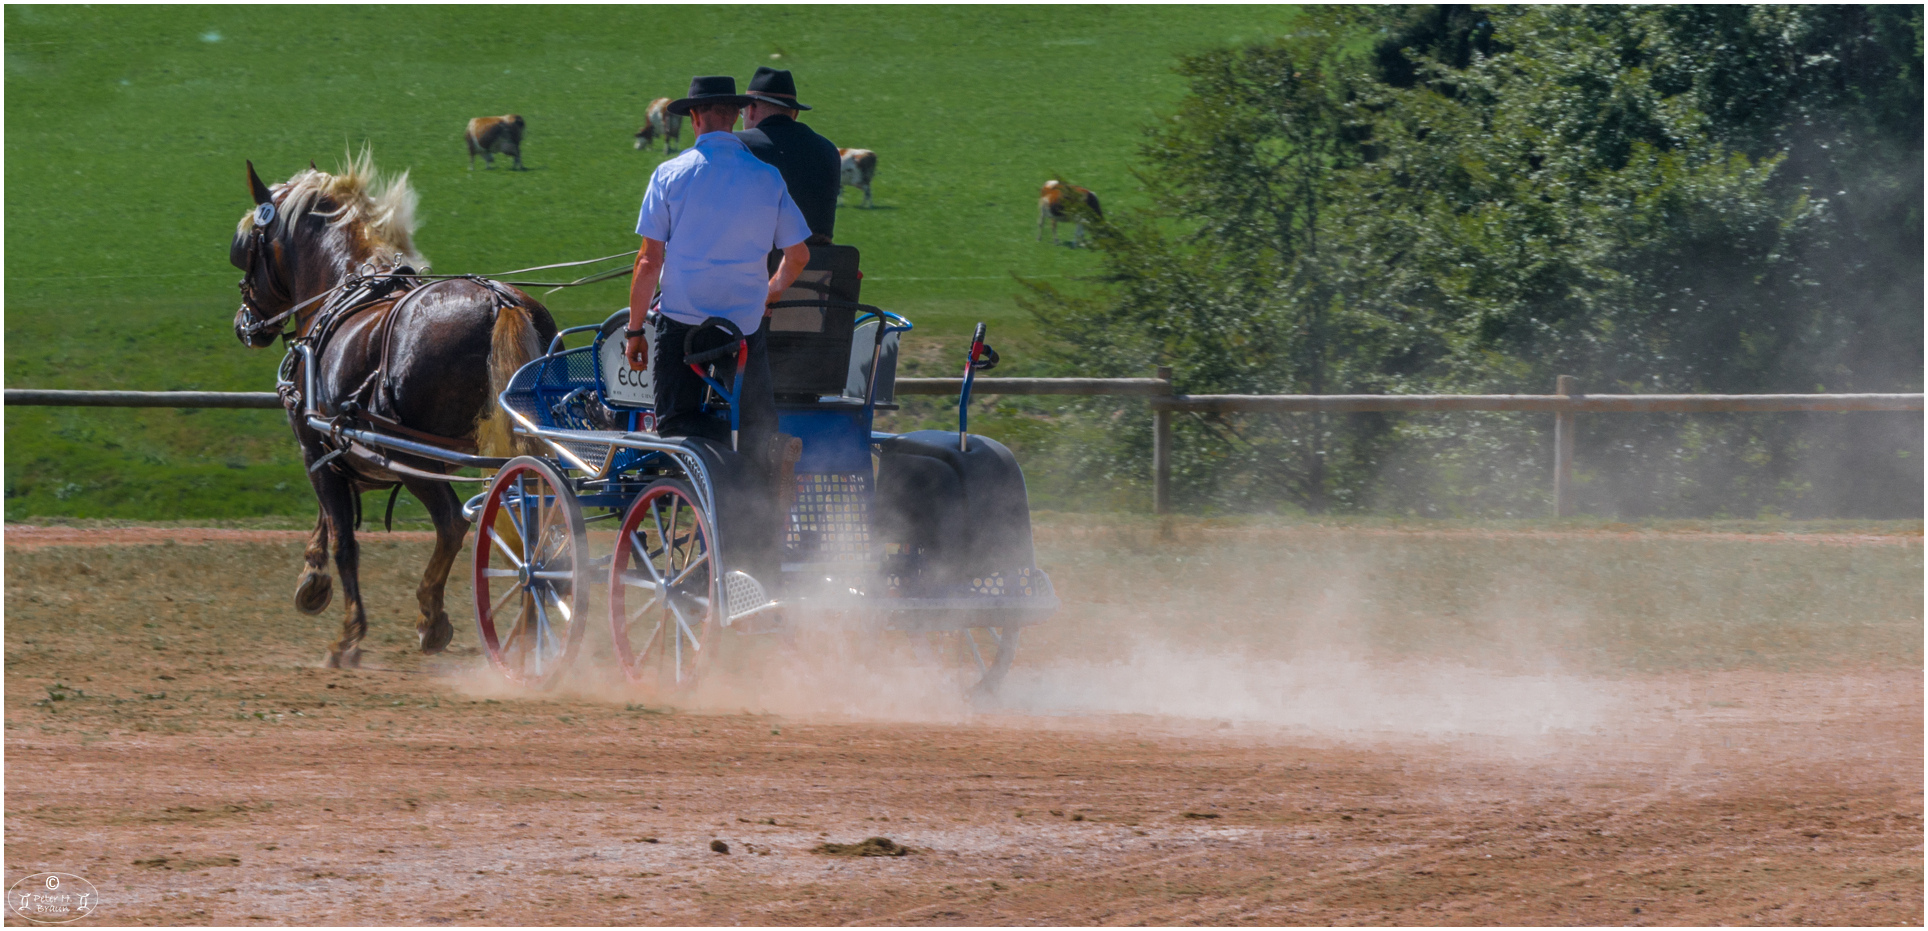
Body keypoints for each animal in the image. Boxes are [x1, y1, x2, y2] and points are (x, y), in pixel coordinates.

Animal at [230, 153, 559, 670]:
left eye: (245, 246)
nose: (244, 323)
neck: (340, 291)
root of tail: (499, 301)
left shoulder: (314, 445)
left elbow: (344, 538)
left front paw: (347, 636)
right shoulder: (342, 450)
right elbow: (329, 518)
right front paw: (311, 579)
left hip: (417, 457)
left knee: (453, 522)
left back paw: (435, 618)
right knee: (535, 521)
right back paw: (528, 623)